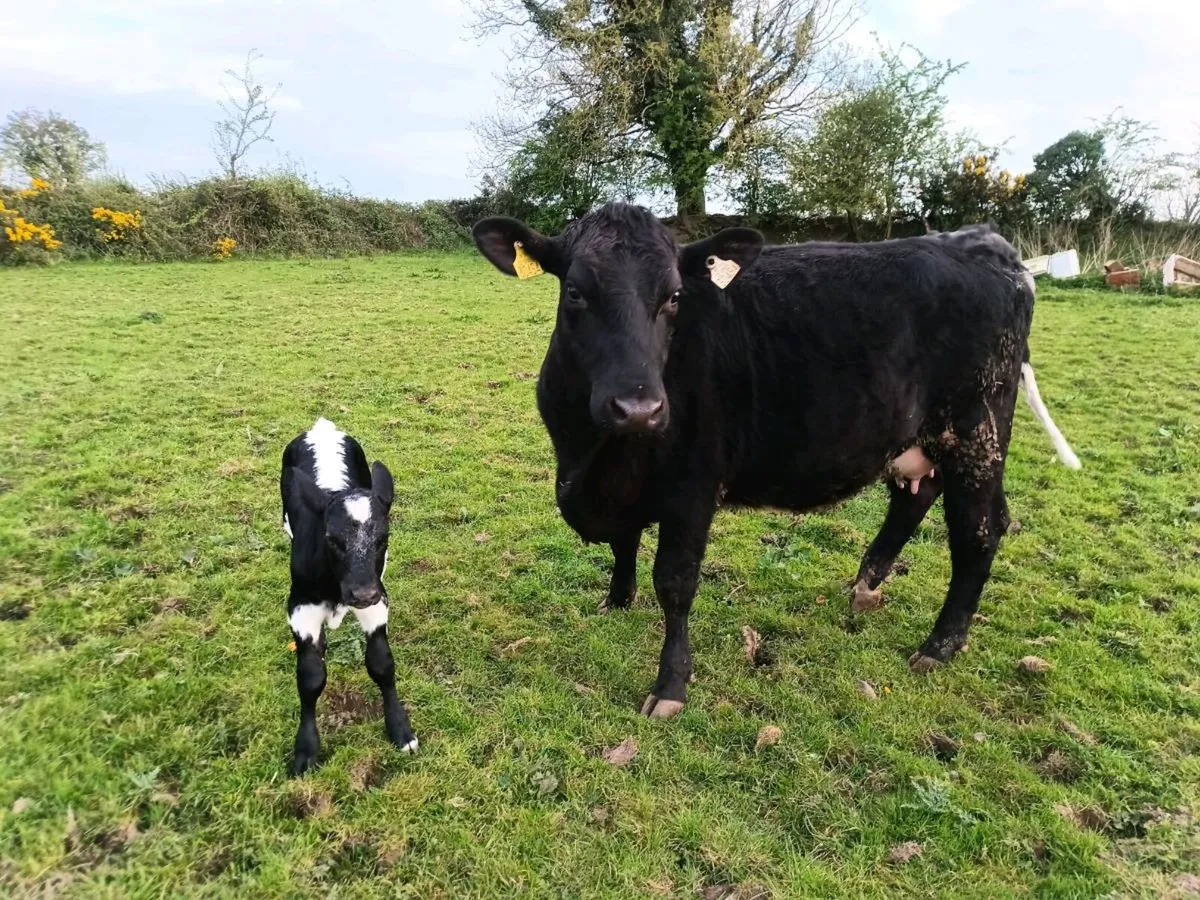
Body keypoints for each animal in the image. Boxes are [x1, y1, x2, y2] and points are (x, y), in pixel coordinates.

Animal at [281, 417, 417, 774]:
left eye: (384, 538)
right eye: (331, 538)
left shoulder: (378, 601)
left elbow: (381, 663)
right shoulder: (300, 607)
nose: (362, 592)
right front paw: (305, 750)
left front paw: (400, 729)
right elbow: (310, 676)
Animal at [472, 203, 1080, 719]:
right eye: (575, 292)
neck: (593, 457)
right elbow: (624, 543)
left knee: (979, 530)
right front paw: (617, 601)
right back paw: (865, 586)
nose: (638, 407)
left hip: (977, 429)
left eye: (674, 297)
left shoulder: (692, 486)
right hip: (918, 437)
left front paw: (670, 686)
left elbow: (675, 582)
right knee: (916, 498)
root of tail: (986, 244)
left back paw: (940, 645)